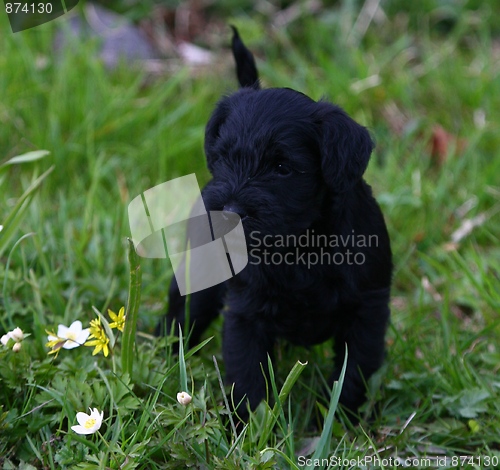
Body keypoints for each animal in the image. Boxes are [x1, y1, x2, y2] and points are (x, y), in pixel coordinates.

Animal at [162, 28, 392, 418]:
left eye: (282, 168)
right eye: (223, 157)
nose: (227, 212)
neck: (301, 247)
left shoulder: (367, 310)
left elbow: (354, 370)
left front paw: (344, 417)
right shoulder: (246, 314)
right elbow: (247, 375)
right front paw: (249, 423)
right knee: (184, 311)